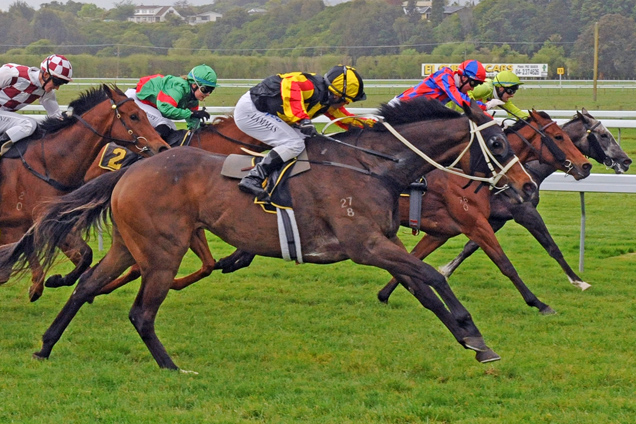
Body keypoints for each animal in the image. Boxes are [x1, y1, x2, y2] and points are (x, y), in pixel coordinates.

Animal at [0, 83, 170, 302]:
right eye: (134, 116)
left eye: (144, 114)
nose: (162, 147)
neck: (47, 162)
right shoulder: (31, 221)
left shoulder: (52, 220)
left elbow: (86, 254)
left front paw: (57, 280)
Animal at [438, 108, 632, 292]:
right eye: (604, 135)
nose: (626, 161)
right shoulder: (525, 212)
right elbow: (552, 247)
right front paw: (579, 281)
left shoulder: (497, 218)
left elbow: (470, 246)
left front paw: (446, 270)